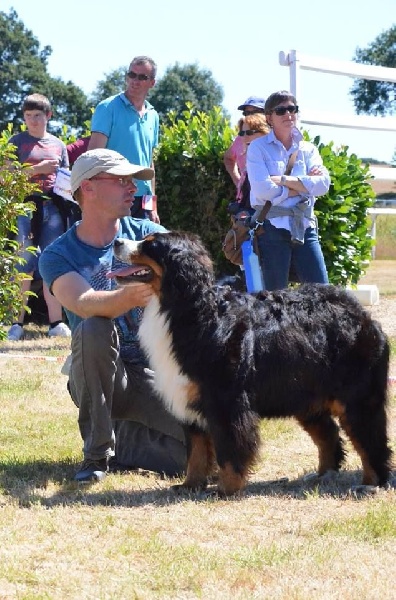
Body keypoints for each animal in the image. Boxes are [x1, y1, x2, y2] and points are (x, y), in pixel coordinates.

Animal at [110, 232, 392, 494]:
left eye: (150, 244)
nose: (116, 241)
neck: (187, 309)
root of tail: (362, 314)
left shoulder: (225, 401)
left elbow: (229, 449)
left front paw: (227, 488)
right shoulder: (189, 395)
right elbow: (197, 452)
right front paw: (190, 485)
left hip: (356, 397)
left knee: (372, 440)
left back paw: (371, 484)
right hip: (305, 396)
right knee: (329, 435)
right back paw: (323, 474)